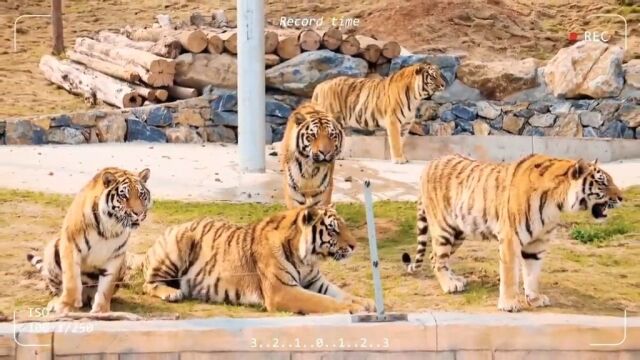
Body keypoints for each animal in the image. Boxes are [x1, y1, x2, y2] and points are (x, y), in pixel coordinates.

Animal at [26, 167, 152, 314]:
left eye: (141, 195)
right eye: (124, 196)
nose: (139, 213)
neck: (110, 227)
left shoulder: (116, 255)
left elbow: (106, 288)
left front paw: (101, 311)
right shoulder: (71, 246)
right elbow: (72, 280)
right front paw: (65, 306)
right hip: (52, 249)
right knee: (58, 288)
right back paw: (56, 301)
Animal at [142, 205, 372, 316]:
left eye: (343, 225)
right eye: (333, 229)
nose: (354, 246)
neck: (308, 260)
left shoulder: (316, 282)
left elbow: (342, 293)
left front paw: (366, 302)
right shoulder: (283, 291)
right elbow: (322, 301)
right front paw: (353, 309)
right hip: (177, 245)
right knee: (148, 284)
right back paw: (172, 293)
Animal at [312, 63, 444, 165]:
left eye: (439, 74)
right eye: (433, 76)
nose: (443, 84)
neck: (416, 97)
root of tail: (320, 85)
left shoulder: (406, 124)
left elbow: (401, 141)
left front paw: (402, 157)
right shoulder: (393, 121)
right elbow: (396, 142)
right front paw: (398, 159)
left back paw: (339, 156)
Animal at [402, 155, 624, 312]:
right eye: (603, 182)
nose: (622, 198)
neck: (557, 203)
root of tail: (429, 163)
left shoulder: (537, 244)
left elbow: (532, 275)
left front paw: (534, 299)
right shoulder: (510, 239)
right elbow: (509, 275)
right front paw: (509, 304)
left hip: (459, 232)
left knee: (435, 257)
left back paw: (456, 280)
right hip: (444, 228)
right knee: (437, 258)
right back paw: (449, 285)